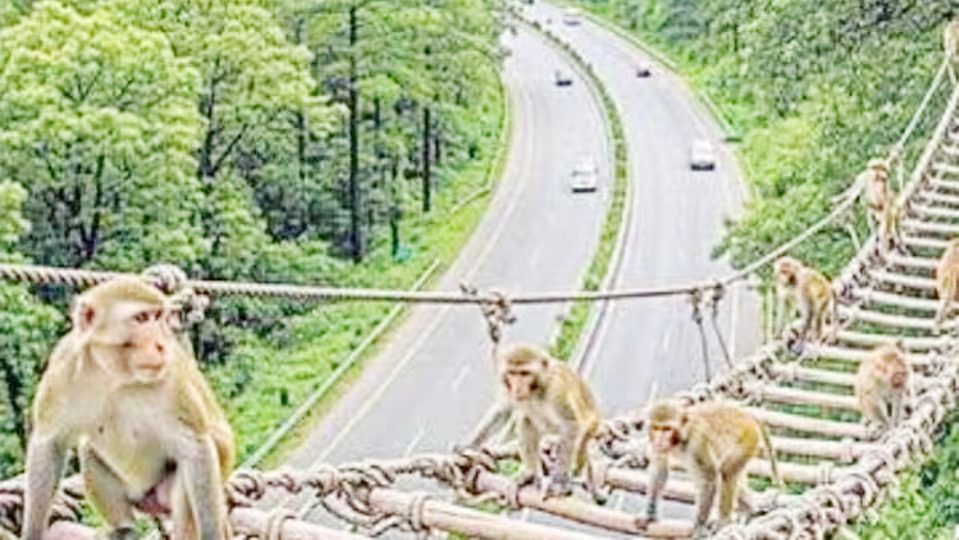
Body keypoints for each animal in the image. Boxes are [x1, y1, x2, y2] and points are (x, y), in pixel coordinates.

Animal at [22, 277, 234, 540]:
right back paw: (123, 528)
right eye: (141, 318)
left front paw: (210, 533)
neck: (116, 376)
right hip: (137, 495)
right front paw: (32, 531)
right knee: (87, 450)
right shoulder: (63, 366)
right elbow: (50, 443)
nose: (161, 345)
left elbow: (196, 448)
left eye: (158, 316)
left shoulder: (170, 380)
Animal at [465, 344, 602, 501]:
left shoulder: (556, 389)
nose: (517, 387)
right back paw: (530, 473)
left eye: (524, 374)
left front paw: (559, 482)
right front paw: (470, 444)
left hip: (589, 428)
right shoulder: (507, 387)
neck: (535, 389)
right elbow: (503, 410)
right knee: (525, 419)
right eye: (512, 373)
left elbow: (570, 425)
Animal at [642, 400, 781, 538]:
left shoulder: (697, 444)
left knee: (726, 472)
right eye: (656, 428)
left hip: (748, 438)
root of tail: (747, 415)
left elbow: (708, 479)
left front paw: (699, 527)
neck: (682, 436)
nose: (659, 440)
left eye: (667, 429)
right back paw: (751, 508)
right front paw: (650, 514)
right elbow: (659, 469)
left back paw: (724, 521)